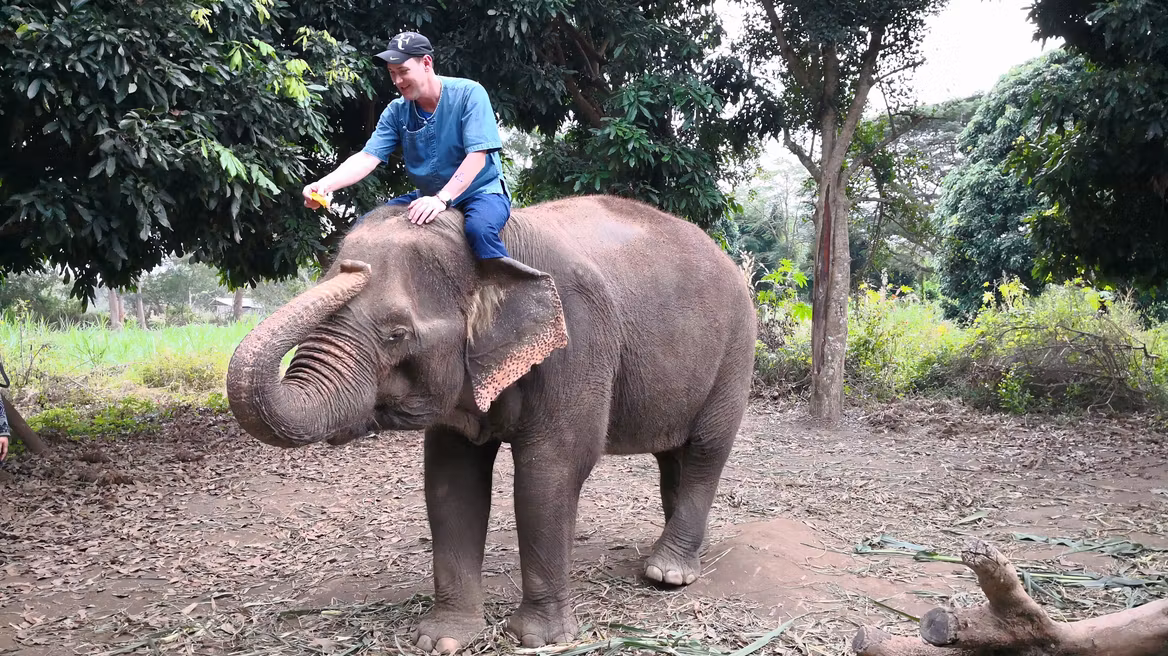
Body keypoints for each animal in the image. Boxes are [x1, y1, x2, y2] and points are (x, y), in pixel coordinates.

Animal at [226, 194, 757, 652]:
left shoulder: (577, 343)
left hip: (737, 352)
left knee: (706, 450)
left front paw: (539, 640)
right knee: (673, 456)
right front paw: (442, 639)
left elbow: (550, 472)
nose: (353, 268)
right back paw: (673, 554)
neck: (493, 249)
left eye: (397, 334)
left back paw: (667, 574)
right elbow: (451, 481)